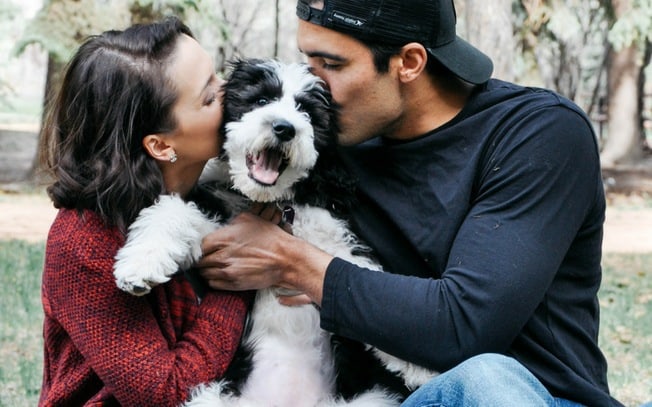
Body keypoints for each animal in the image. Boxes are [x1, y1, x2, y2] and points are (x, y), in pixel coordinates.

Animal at [112, 58, 438, 407]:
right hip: (210, 398)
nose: (285, 128)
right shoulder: (220, 232)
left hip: (369, 400)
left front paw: (421, 360)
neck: (275, 203)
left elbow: (367, 294)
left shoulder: (336, 243)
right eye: (261, 99)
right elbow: (173, 210)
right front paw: (140, 264)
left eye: (307, 110)